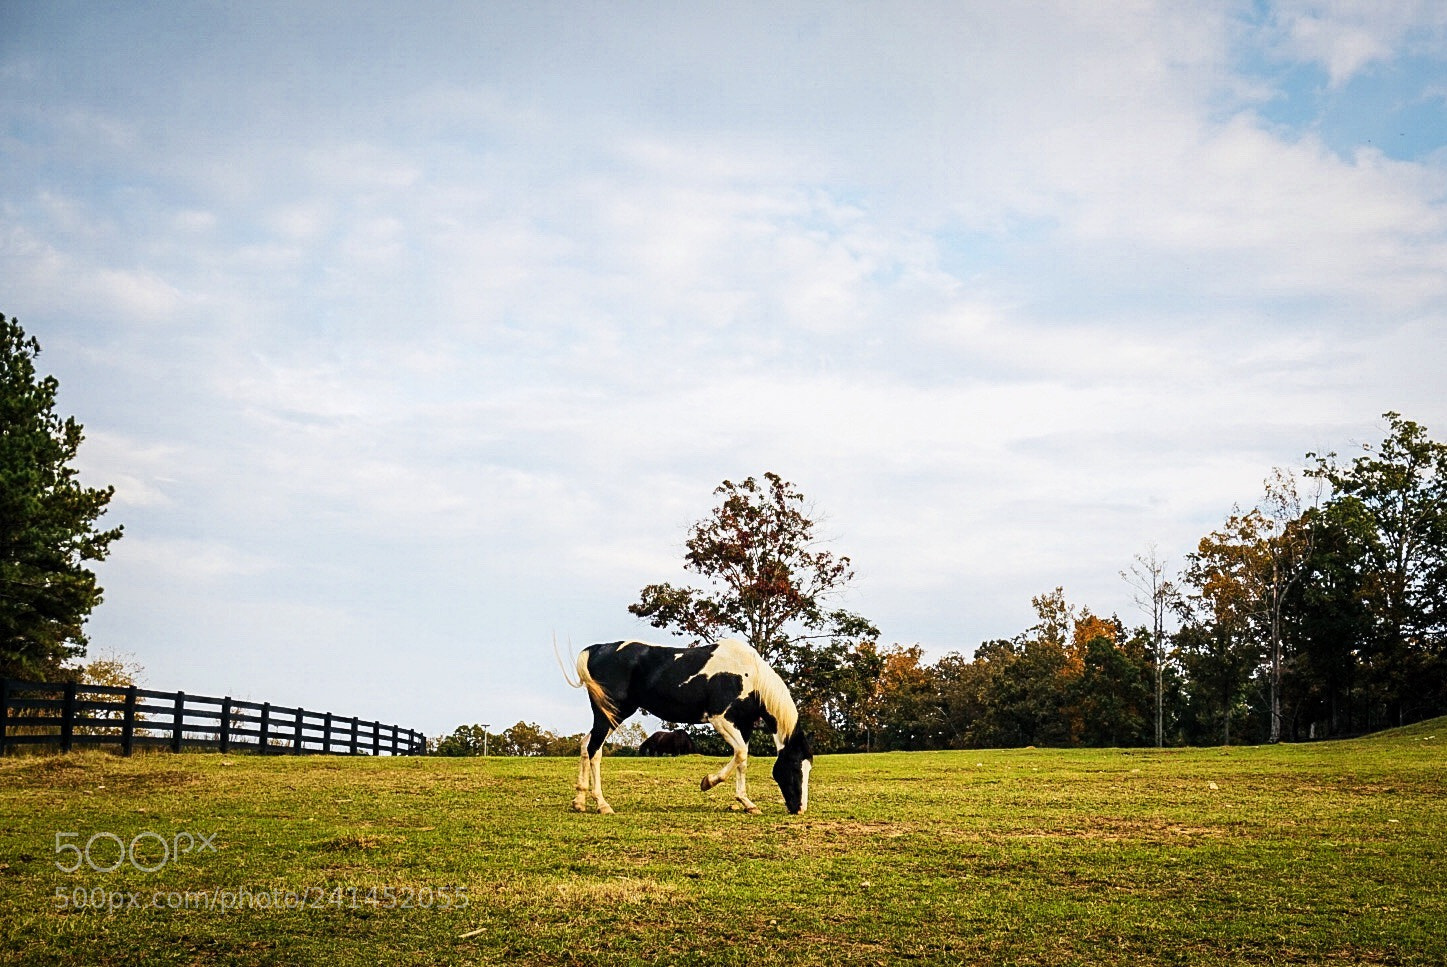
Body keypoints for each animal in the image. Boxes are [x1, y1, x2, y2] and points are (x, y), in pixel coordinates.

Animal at [559, 638, 812, 815]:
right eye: (794, 767)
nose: (799, 809)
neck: (749, 675)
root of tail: (597, 649)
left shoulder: (744, 724)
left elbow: (742, 760)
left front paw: (747, 803)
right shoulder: (720, 719)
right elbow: (740, 754)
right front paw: (708, 782)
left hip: (612, 716)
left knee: (585, 745)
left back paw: (579, 802)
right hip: (610, 714)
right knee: (594, 750)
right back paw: (602, 805)